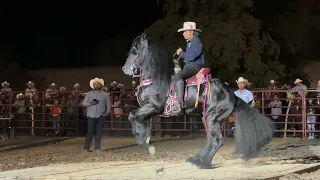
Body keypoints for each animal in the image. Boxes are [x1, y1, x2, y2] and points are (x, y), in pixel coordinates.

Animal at [121, 33, 274, 169]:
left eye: (135, 50)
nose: (125, 69)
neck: (157, 79)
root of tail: (232, 95)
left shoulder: (154, 107)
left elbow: (132, 116)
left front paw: (147, 146)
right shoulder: (148, 110)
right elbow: (137, 120)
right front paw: (145, 139)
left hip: (212, 117)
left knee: (216, 140)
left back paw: (201, 163)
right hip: (209, 118)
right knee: (212, 140)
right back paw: (197, 159)